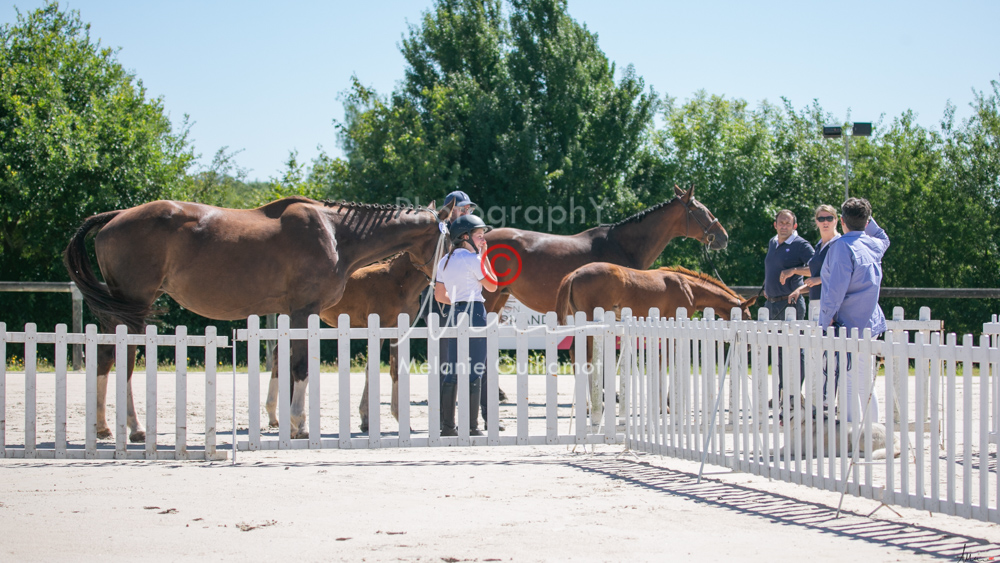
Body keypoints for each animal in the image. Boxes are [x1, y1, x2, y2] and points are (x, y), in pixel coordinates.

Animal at [262, 252, 431, 432]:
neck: (398, 281)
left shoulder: (398, 331)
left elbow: (395, 370)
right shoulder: (379, 330)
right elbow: (371, 369)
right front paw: (366, 419)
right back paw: (275, 415)